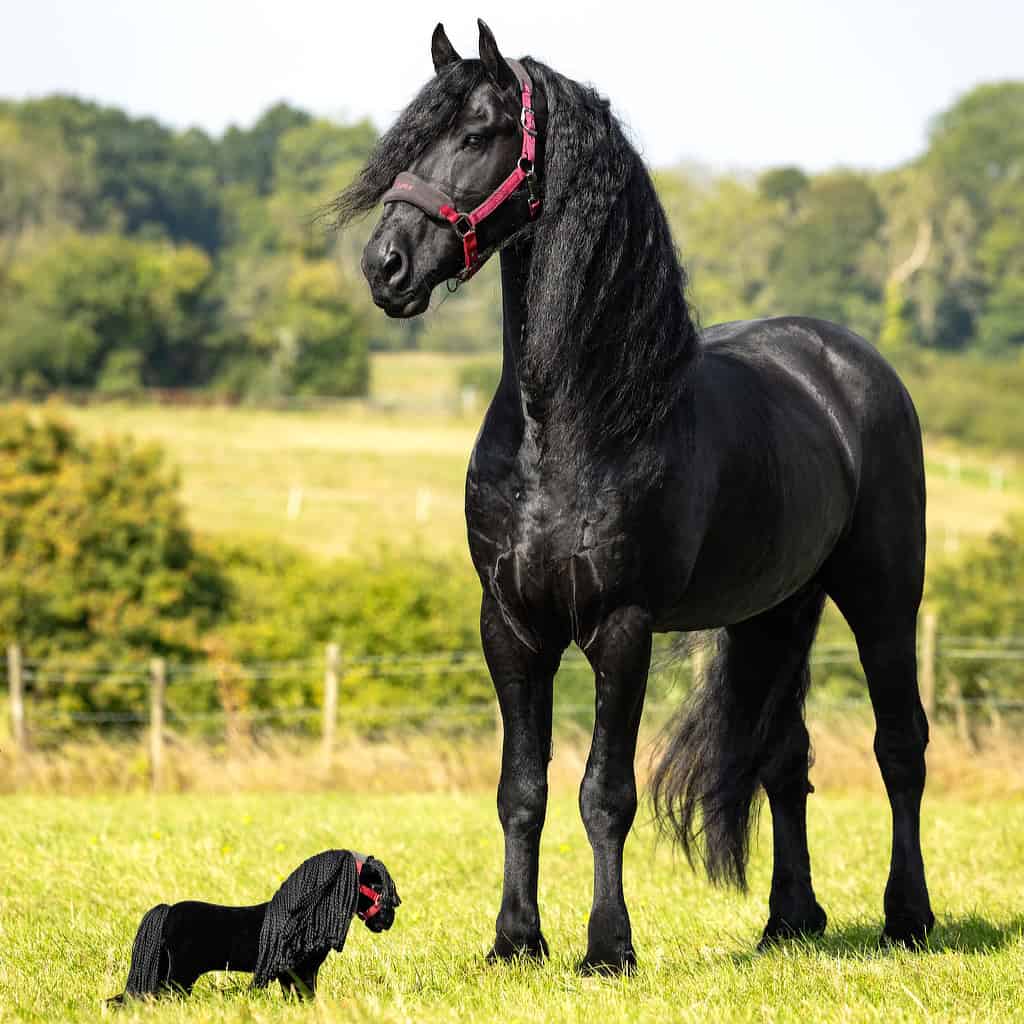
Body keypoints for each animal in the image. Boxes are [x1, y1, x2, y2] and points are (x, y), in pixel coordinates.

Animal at [337, 19, 937, 970]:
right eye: (407, 141)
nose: (384, 267)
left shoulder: (620, 628)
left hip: (882, 596)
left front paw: (607, 947)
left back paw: (907, 916)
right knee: (782, 757)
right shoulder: (511, 627)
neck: (568, 425)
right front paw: (515, 941)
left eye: (477, 134)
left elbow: (604, 793)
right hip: (776, 610)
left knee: (900, 746)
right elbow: (522, 789)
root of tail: (849, 362)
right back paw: (788, 921)